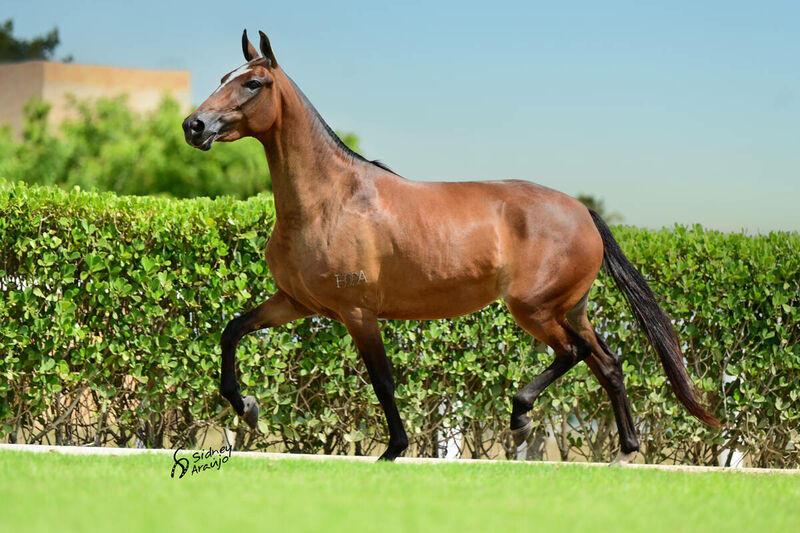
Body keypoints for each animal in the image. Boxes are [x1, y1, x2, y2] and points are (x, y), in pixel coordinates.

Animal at [182, 29, 720, 463]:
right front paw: (248, 407)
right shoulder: (295, 302)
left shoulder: (358, 312)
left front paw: (394, 451)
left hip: (535, 308)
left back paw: (522, 415)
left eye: (254, 83)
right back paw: (624, 452)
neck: (329, 201)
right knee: (607, 363)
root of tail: (582, 212)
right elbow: (231, 332)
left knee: (575, 352)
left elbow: (382, 380)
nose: (195, 126)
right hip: (570, 308)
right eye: (224, 76)